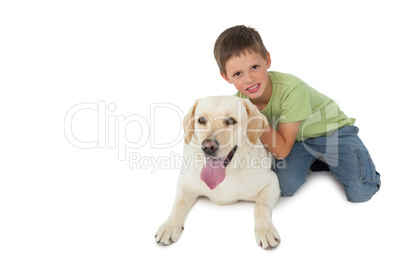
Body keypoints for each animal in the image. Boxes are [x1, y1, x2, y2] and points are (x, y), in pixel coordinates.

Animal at [155, 96, 282, 249]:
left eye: (231, 121)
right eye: (201, 120)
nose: (208, 147)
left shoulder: (272, 183)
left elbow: (260, 206)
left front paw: (265, 230)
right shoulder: (185, 184)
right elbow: (178, 204)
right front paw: (169, 226)